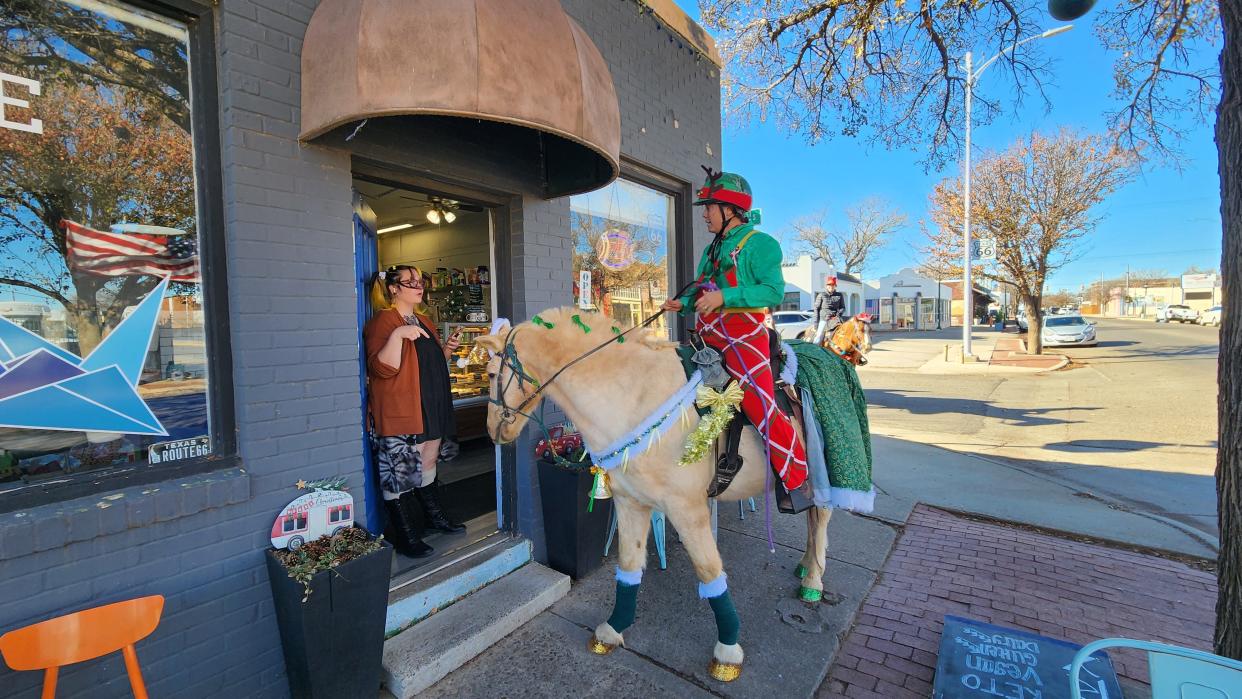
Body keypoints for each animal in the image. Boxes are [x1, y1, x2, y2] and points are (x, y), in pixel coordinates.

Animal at [474, 309, 834, 680]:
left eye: (491, 373)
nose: (492, 431)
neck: (633, 396)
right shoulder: (630, 503)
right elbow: (629, 563)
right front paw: (612, 629)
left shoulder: (688, 509)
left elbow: (709, 570)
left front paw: (728, 651)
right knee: (811, 519)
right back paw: (805, 567)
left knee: (821, 517)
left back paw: (813, 582)